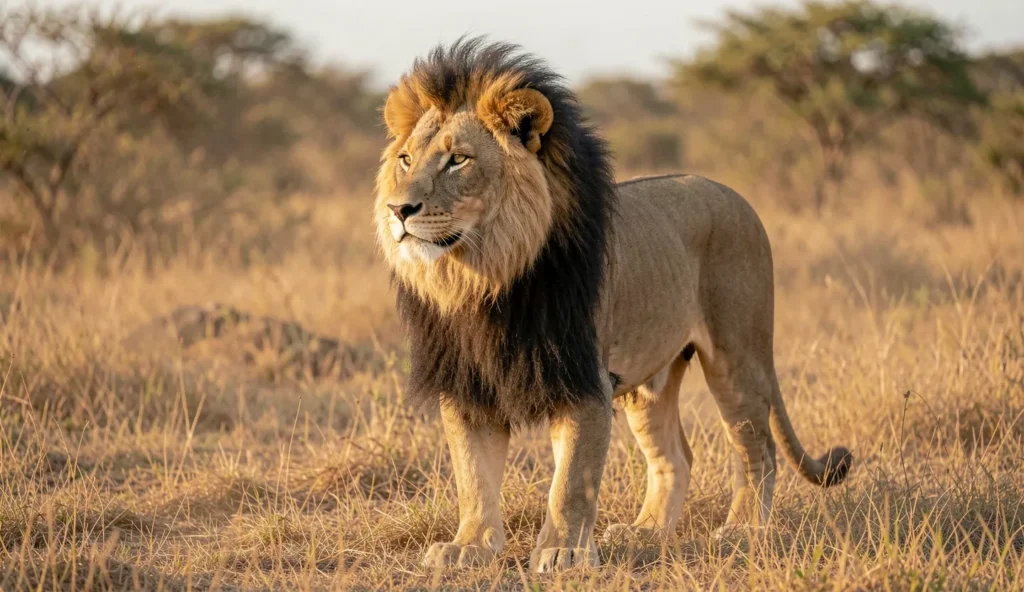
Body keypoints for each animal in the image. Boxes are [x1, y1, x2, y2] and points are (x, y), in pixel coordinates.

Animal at [373, 38, 853, 573]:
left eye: (458, 160)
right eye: (406, 160)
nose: (398, 210)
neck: (483, 280)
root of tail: (734, 195)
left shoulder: (584, 378)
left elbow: (571, 481)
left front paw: (561, 551)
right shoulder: (467, 383)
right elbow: (473, 475)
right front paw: (469, 547)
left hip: (737, 354)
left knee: (758, 448)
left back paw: (741, 531)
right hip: (648, 384)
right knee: (676, 456)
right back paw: (645, 531)